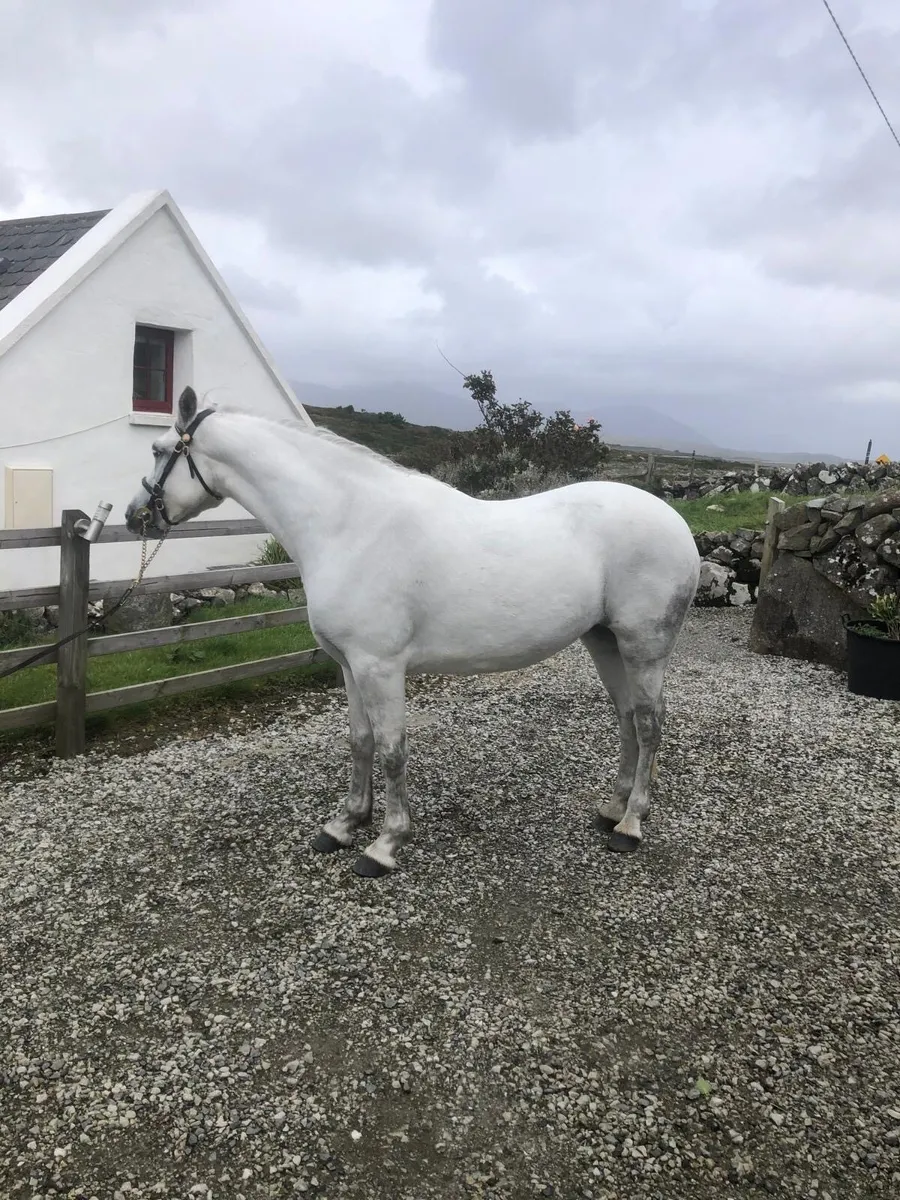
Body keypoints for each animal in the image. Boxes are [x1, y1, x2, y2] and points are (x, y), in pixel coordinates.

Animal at [126, 387, 700, 879]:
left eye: (158, 450)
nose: (136, 516)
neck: (348, 525)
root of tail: (672, 519)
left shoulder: (380, 667)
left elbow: (391, 749)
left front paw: (384, 845)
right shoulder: (349, 665)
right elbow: (359, 741)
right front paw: (344, 825)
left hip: (644, 646)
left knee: (649, 724)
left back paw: (631, 825)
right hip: (604, 641)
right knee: (626, 719)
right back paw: (611, 808)